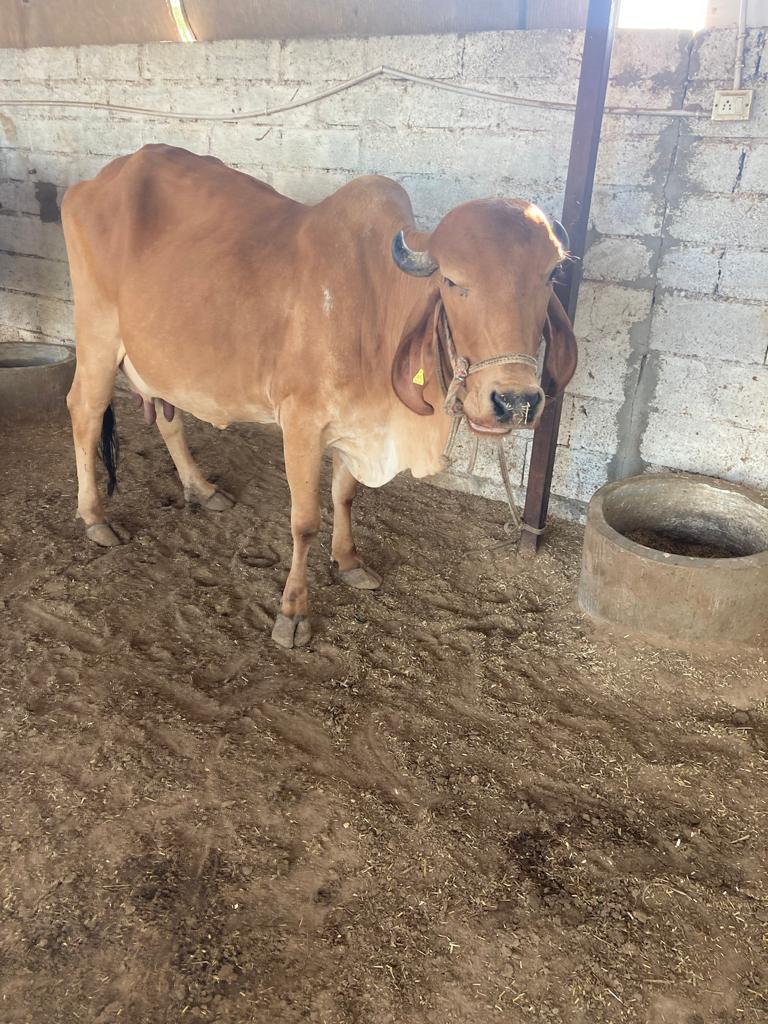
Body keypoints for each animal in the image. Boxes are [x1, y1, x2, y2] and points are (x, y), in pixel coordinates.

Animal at [61, 144, 576, 648]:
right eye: (452, 281)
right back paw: (94, 517)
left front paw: (349, 562)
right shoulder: (301, 424)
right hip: (98, 339)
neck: (375, 305)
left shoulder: (357, 427)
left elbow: (345, 496)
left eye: (551, 276)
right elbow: (305, 520)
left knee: (169, 417)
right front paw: (292, 613)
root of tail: (92, 182)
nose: (515, 401)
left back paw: (202, 488)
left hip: (160, 360)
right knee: (83, 412)